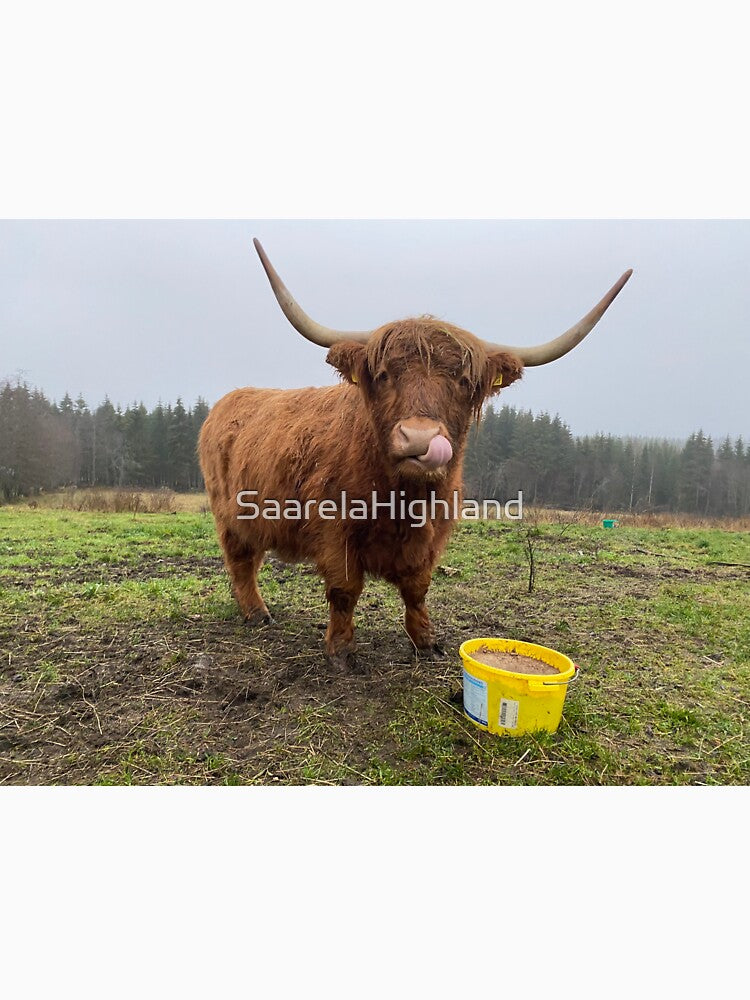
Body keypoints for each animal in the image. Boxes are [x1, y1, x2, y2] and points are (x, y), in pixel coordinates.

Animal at [199, 240, 632, 669]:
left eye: (463, 381)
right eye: (384, 375)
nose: (419, 439)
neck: (402, 499)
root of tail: (231, 398)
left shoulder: (433, 533)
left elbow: (417, 588)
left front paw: (426, 641)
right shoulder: (333, 530)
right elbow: (344, 590)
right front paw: (340, 650)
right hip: (229, 513)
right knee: (240, 562)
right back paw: (257, 613)